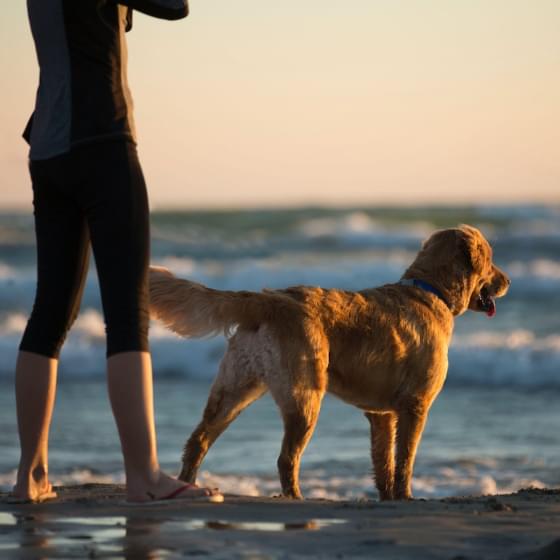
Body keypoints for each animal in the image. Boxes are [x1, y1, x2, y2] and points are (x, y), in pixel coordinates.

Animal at [151, 225, 510, 500]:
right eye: (491, 260)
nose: (507, 281)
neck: (430, 291)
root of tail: (268, 299)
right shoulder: (415, 405)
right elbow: (405, 460)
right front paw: (406, 496)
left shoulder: (381, 415)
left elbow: (384, 462)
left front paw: (388, 498)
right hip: (305, 397)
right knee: (286, 458)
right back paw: (295, 498)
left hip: (234, 390)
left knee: (198, 440)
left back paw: (188, 486)